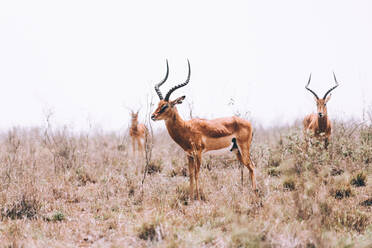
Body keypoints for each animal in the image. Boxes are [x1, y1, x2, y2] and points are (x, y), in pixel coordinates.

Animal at [151, 60, 256, 202]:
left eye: (165, 105)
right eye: (158, 104)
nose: (153, 116)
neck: (186, 127)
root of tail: (249, 123)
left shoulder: (198, 153)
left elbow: (196, 174)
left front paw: (199, 199)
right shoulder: (189, 155)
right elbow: (190, 175)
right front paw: (190, 200)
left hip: (243, 149)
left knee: (252, 166)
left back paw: (255, 195)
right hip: (236, 151)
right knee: (249, 168)